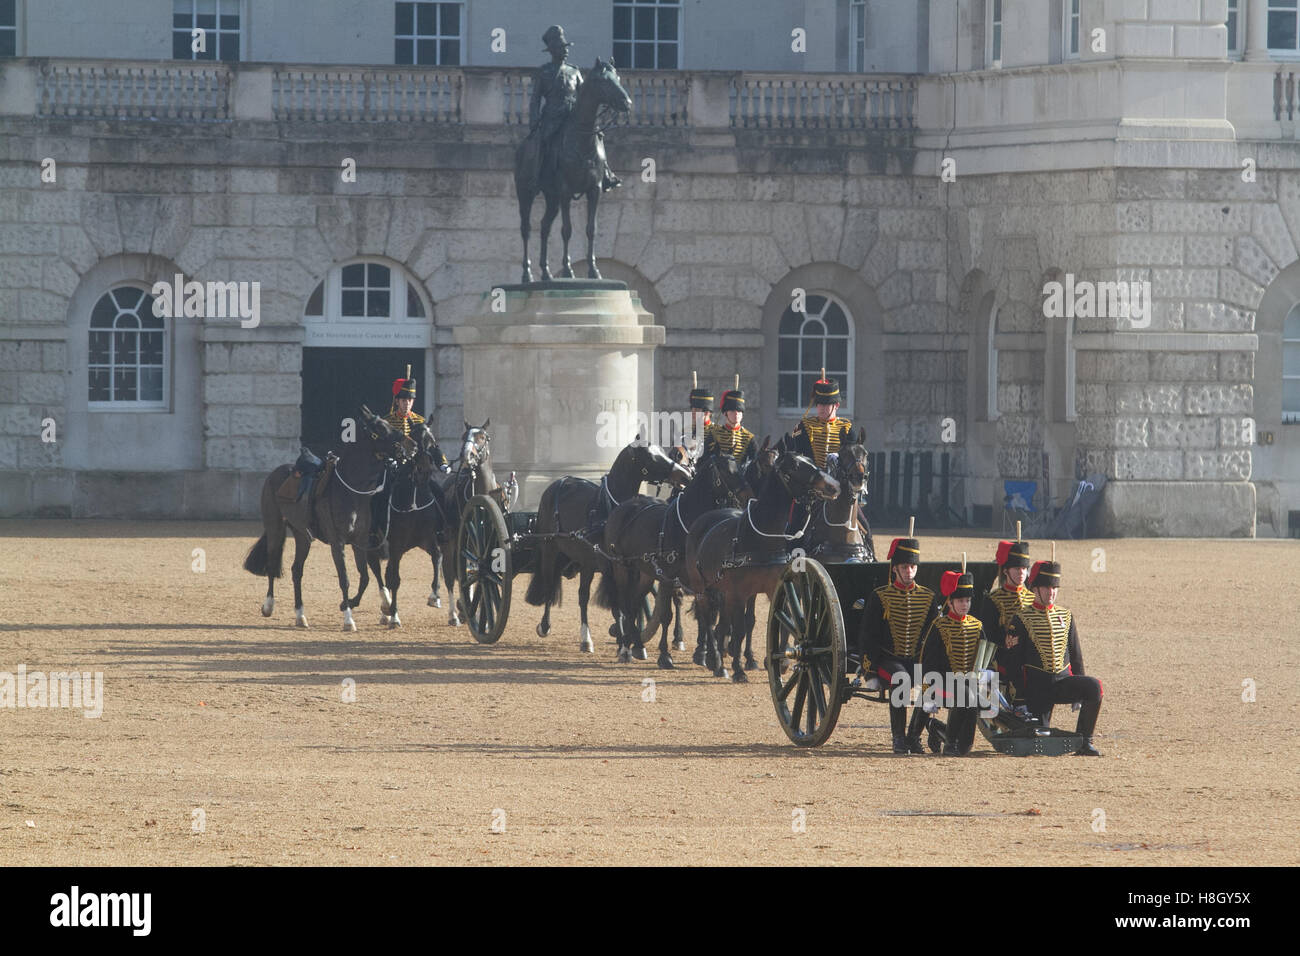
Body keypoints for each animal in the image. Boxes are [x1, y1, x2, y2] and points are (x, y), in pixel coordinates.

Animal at [246, 408, 416, 632]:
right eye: (380, 427)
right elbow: (345, 579)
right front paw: (348, 618)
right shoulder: (338, 542)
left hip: (302, 536)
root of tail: (275, 473)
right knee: (273, 563)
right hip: (275, 528)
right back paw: (268, 606)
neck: (350, 491)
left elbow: (364, 576)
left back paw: (300, 615)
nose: (412, 445)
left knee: (296, 571)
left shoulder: (360, 541)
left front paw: (357, 604)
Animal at [514, 55, 631, 282]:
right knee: (526, 228)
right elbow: (566, 229)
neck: (581, 138)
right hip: (526, 194)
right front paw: (568, 270)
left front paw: (594, 270)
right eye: (604, 81)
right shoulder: (566, 191)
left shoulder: (594, 190)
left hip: (552, 198)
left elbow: (591, 229)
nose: (627, 103)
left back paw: (546, 272)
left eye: (618, 77)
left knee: (544, 226)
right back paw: (527, 274)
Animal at [525, 439, 696, 650]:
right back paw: (548, 626)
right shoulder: (610, 564)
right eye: (651, 456)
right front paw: (624, 639)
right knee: (550, 583)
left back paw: (586, 637)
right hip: (550, 549)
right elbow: (619, 602)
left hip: (585, 560)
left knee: (582, 595)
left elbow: (635, 599)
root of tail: (558, 482)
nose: (686, 475)